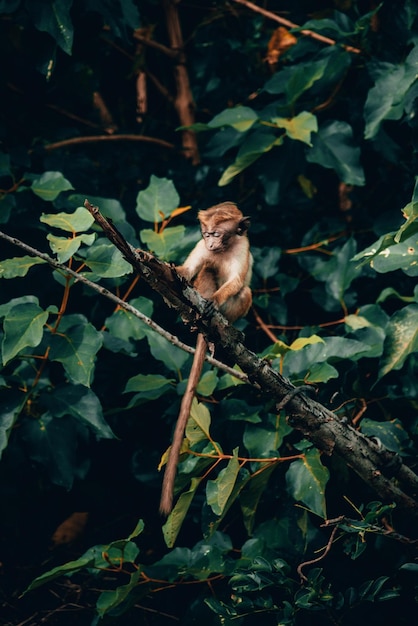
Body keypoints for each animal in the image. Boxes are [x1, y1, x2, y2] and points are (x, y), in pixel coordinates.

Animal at [159, 202, 251, 516]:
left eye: (218, 234)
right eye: (207, 233)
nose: (211, 243)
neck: (224, 248)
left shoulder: (243, 246)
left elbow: (236, 282)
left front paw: (215, 301)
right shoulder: (200, 247)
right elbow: (188, 270)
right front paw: (167, 269)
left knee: (244, 292)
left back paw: (224, 326)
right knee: (206, 270)